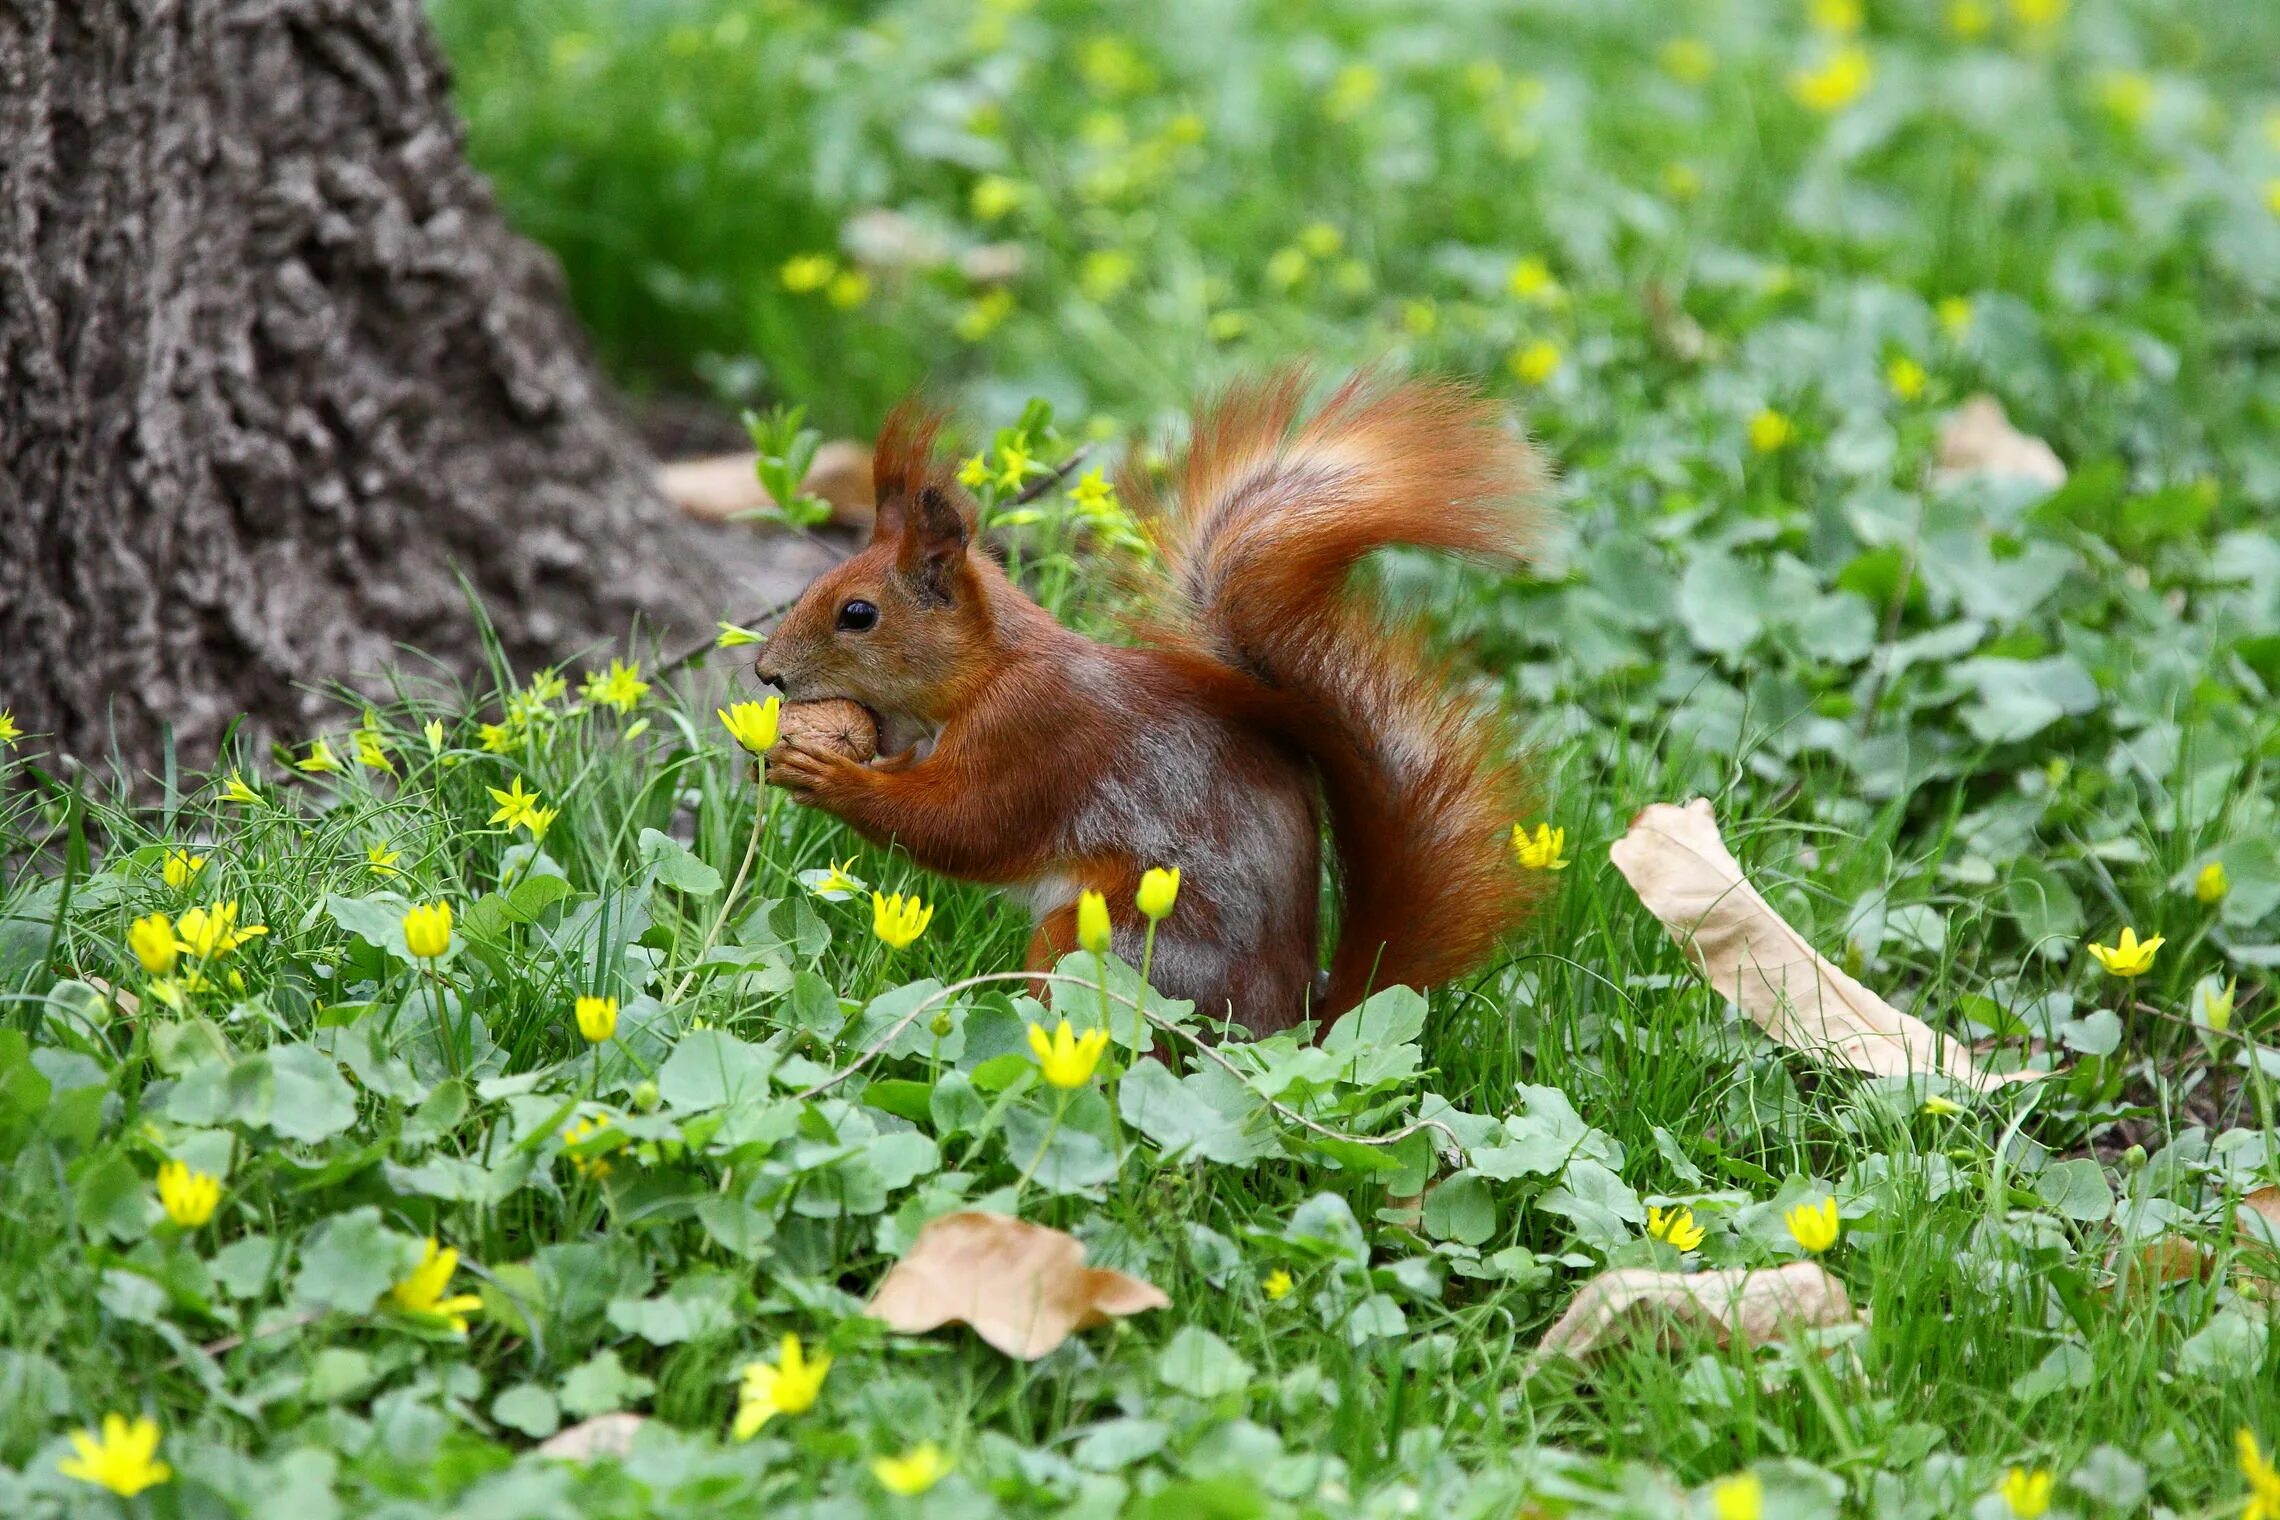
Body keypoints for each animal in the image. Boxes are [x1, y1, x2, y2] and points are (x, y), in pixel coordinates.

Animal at [756, 369, 1541, 1039]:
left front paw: (828, 776)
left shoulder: (1035, 735)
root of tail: (1293, 1026)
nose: (767, 674)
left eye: (858, 615)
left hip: (1114, 944)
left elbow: (962, 826)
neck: (991, 672)